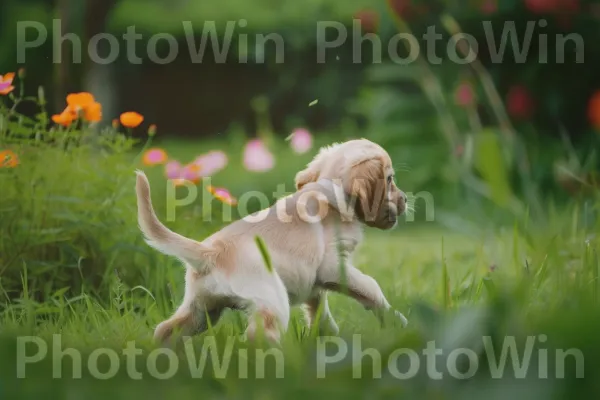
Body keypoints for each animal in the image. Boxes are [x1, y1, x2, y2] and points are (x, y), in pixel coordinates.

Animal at [135, 138, 408, 344]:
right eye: (390, 179)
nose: (406, 199)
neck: (330, 194)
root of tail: (209, 252)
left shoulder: (312, 279)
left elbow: (319, 309)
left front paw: (327, 338)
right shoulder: (332, 266)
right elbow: (371, 287)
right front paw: (396, 320)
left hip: (202, 309)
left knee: (165, 330)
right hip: (272, 300)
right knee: (258, 337)